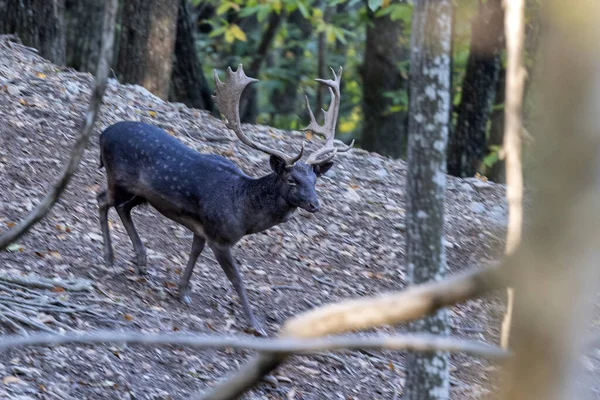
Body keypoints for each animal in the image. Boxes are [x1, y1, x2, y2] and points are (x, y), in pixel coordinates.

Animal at [96, 65, 352, 334]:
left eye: (315, 180)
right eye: (292, 180)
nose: (315, 204)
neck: (242, 211)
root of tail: (102, 134)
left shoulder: (202, 228)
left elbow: (194, 253)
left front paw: (182, 292)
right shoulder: (219, 237)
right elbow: (236, 278)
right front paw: (255, 324)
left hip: (141, 193)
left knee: (123, 208)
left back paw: (141, 261)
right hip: (118, 178)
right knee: (102, 199)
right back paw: (109, 258)